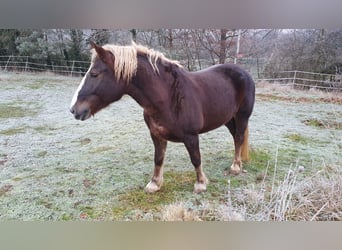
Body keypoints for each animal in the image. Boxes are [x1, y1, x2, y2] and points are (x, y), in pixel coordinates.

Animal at [69, 41, 254, 193]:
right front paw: (154, 184)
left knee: (239, 137)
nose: (74, 109)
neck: (169, 97)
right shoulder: (156, 134)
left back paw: (235, 167)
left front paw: (200, 184)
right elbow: (158, 159)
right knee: (236, 137)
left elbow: (195, 158)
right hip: (228, 118)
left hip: (242, 116)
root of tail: (244, 72)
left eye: (94, 74)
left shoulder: (191, 136)